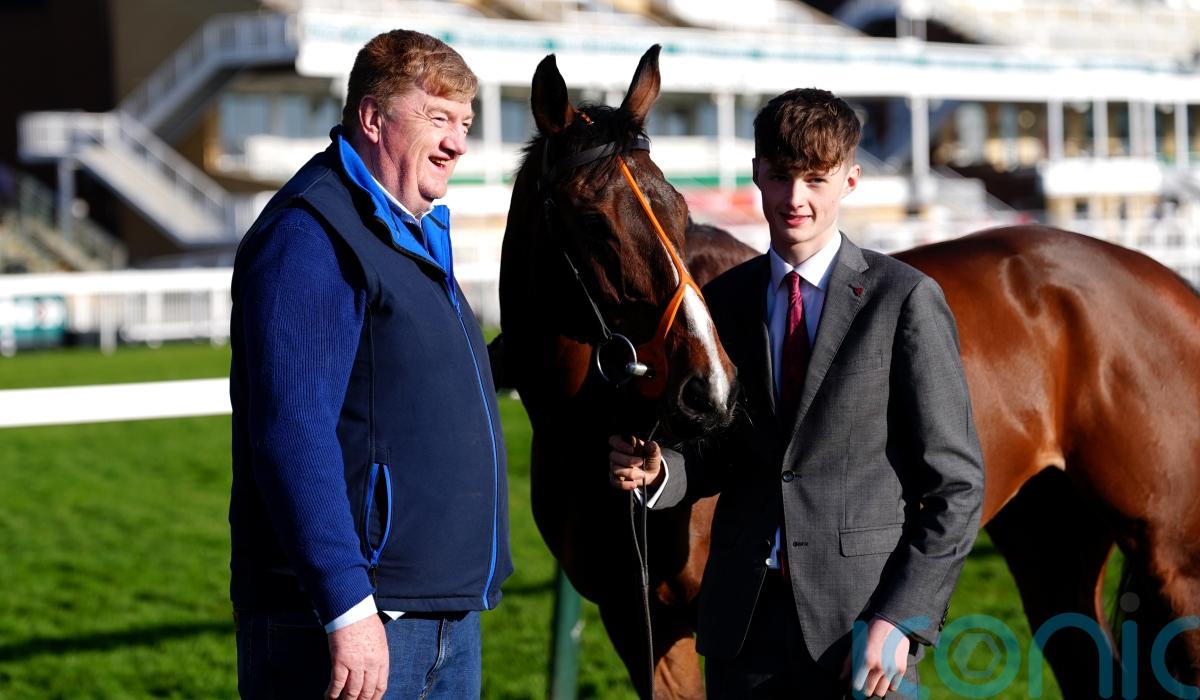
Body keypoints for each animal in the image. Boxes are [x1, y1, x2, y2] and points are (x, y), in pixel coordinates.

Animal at [499, 46, 1200, 699]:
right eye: (594, 222)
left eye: (677, 210)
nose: (712, 391)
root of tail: (1170, 285)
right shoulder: (639, 625)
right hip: (1051, 546)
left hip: (1174, 561)